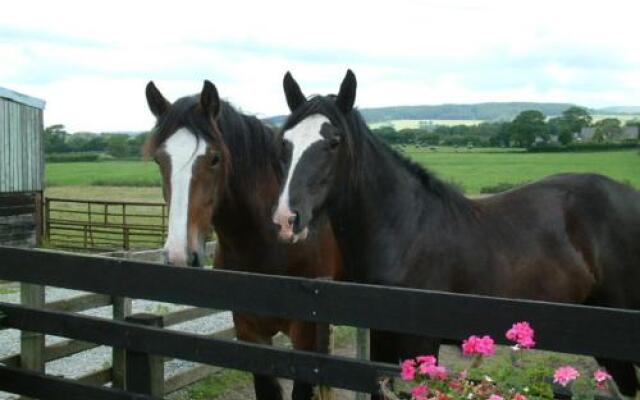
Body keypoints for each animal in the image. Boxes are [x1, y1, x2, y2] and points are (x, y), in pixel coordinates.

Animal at [272, 70, 640, 398]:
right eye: (285, 142)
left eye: (334, 141)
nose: (287, 219)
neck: (406, 232)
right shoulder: (381, 340)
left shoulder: (419, 346)